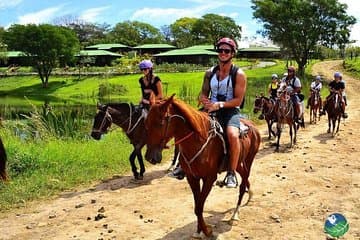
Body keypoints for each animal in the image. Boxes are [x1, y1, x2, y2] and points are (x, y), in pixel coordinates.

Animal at [142, 95, 260, 238]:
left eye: (160, 123)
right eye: (146, 123)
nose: (150, 157)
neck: (198, 141)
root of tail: (252, 127)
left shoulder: (209, 178)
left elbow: (199, 207)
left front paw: (207, 231)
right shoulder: (192, 178)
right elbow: (197, 206)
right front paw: (199, 231)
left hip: (249, 160)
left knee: (243, 184)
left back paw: (234, 214)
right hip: (237, 163)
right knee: (244, 177)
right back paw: (249, 194)